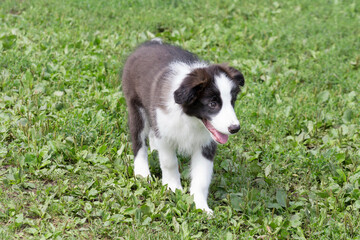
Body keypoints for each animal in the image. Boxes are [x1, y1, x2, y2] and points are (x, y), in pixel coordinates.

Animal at [121, 39, 245, 214]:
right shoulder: (165, 134)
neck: (191, 119)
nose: (235, 128)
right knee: (138, 139)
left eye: (232, 101)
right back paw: (142, 172)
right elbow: (169, 162)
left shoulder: (206, 144)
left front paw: (201, 207)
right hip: (136, 106)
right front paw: (173, 188)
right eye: (212, 104)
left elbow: (202, 177)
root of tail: (149, 43)